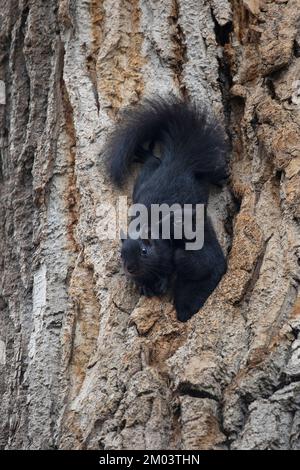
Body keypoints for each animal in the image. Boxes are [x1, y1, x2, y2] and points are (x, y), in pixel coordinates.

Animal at [105, 97, 227, 322]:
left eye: (144, 251)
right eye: (121, 255)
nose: (130, 268)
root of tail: (177, 162)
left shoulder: (169, 251)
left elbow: (168, 270)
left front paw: (160, 282)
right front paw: (144, 286)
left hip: (197, 183)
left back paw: (219, 176)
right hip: (145, 176)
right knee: (153, 161)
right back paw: (144, 154)